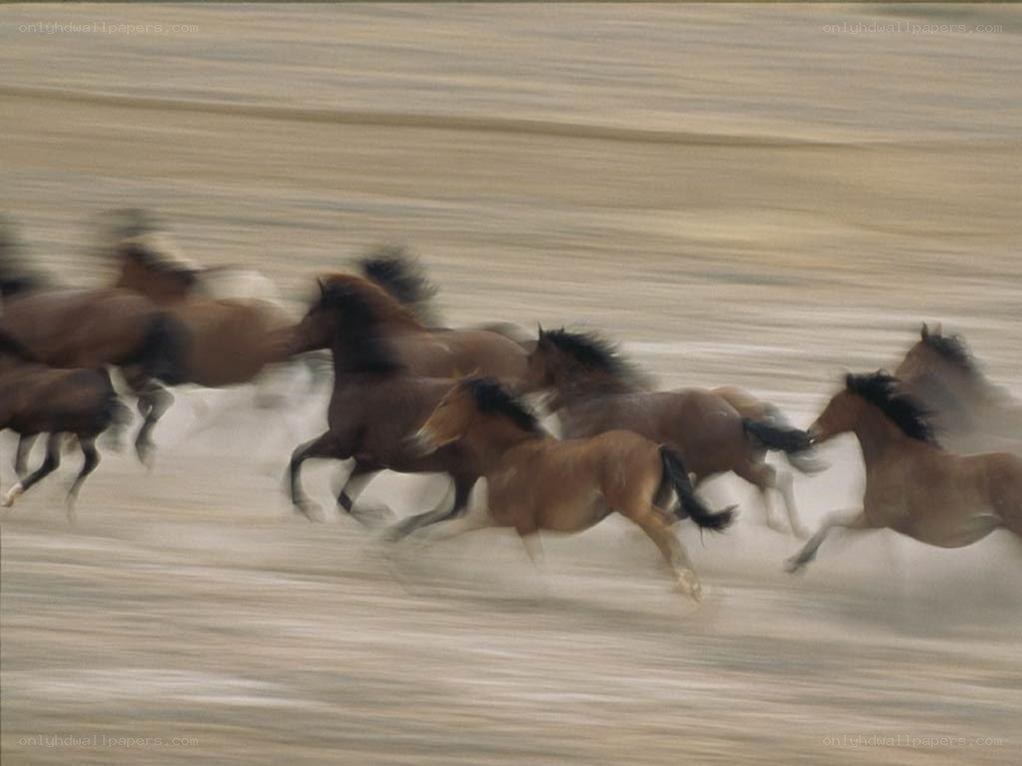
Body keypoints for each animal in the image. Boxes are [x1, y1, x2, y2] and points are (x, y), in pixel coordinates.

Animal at [0, 330, 131, 517]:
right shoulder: (30, 431)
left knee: (53, 462)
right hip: (80, 433)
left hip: (61, 428)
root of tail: (109, 395)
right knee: (89, 460)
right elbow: (19, 462)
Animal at [287, 278, 486, 530]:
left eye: (313, 312)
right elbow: (343, 498)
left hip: (463, 471)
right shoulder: (370, 460)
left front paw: (307, 507)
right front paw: (377, 515)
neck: (366, 379)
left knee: (455, 508)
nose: (290, 341)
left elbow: (298, 456)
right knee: (453, 506)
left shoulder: (340, 444)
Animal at [409, 376, 736, 601]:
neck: (509, 452)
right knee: (668, 526)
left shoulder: (517, 522)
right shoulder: (493, 518)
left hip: (634, 508)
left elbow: (537, 561)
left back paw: (691, 587)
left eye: (444, 403)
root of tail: (656, 447)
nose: (419, 438)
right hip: (650, 503)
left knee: (663, 531)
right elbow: (446, 533)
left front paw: (549, 591)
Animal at [519, 328, 821, 537]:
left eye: (532, 358)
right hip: (714, 465)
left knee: (772, 480)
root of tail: (739, 418)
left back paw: (791, 528)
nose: (520, 387)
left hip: (734, 464)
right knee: (765, 481)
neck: (593, 396)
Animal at [786, 371, 1022, 574]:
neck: (892, 455)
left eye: (835, 404)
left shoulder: (874, 518)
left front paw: (798, 560)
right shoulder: (871, 519)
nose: (810, 432)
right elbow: (835, 529)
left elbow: (831, 520)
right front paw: (801, 560)